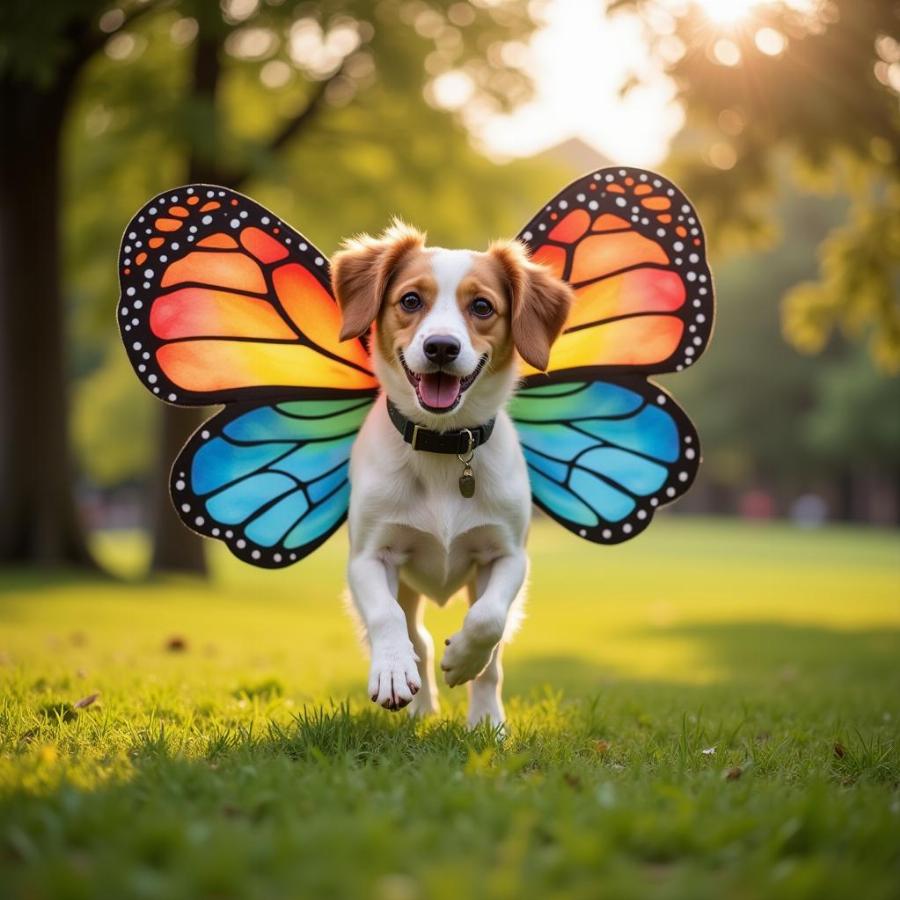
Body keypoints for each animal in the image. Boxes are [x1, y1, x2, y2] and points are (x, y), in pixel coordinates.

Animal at [332, 221, 576, 728]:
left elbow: (487, 622)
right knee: (416, 636)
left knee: (491, 654)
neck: (443, 447)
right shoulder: (369, 557)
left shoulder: (507, 556)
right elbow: (387, 618)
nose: (441, 347)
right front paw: (392, 671)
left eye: (482, 306)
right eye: (410, 300)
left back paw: (486, 720)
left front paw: (463, 661)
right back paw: (418, 705)